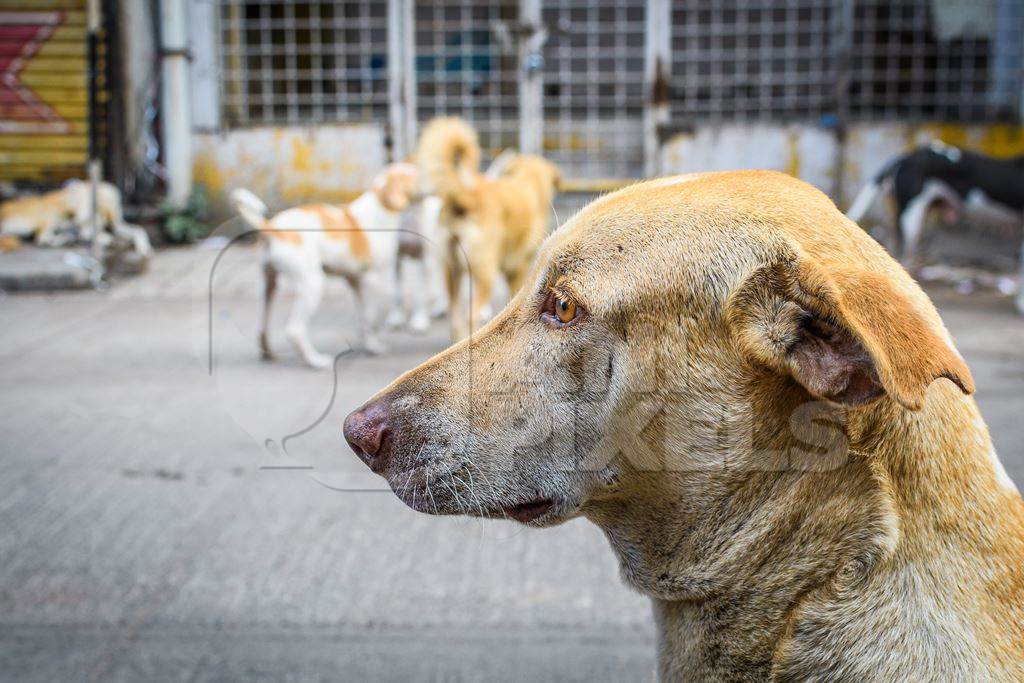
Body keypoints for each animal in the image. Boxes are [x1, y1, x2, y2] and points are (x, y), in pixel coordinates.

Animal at [0, 179, 151, 255]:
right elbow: (93, 233)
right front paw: (104, 239)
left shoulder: (115, 223)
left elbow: (138, 229)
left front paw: (144, 247)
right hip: (53, 214)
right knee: (42, 238)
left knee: (44, 238)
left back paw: (68, 237)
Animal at [232, 162, 419, 368]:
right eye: (419, 176)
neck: (380, 209)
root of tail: (271, 227)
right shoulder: (371, 279)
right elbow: (370, 318)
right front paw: (374, 347)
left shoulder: (354, 280)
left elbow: (363, 316)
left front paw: (368, 343)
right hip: (312, 283)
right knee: (295, 330)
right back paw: (315, 360)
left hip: (268, 284)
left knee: (262, 326)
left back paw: (269, 354)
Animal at [413, 118, 561, 342]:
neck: (529, 181)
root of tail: (467, 196)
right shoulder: (518, 268)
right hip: (484, 275)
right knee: (471, 317)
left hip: (452, 273)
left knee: (455, 319)